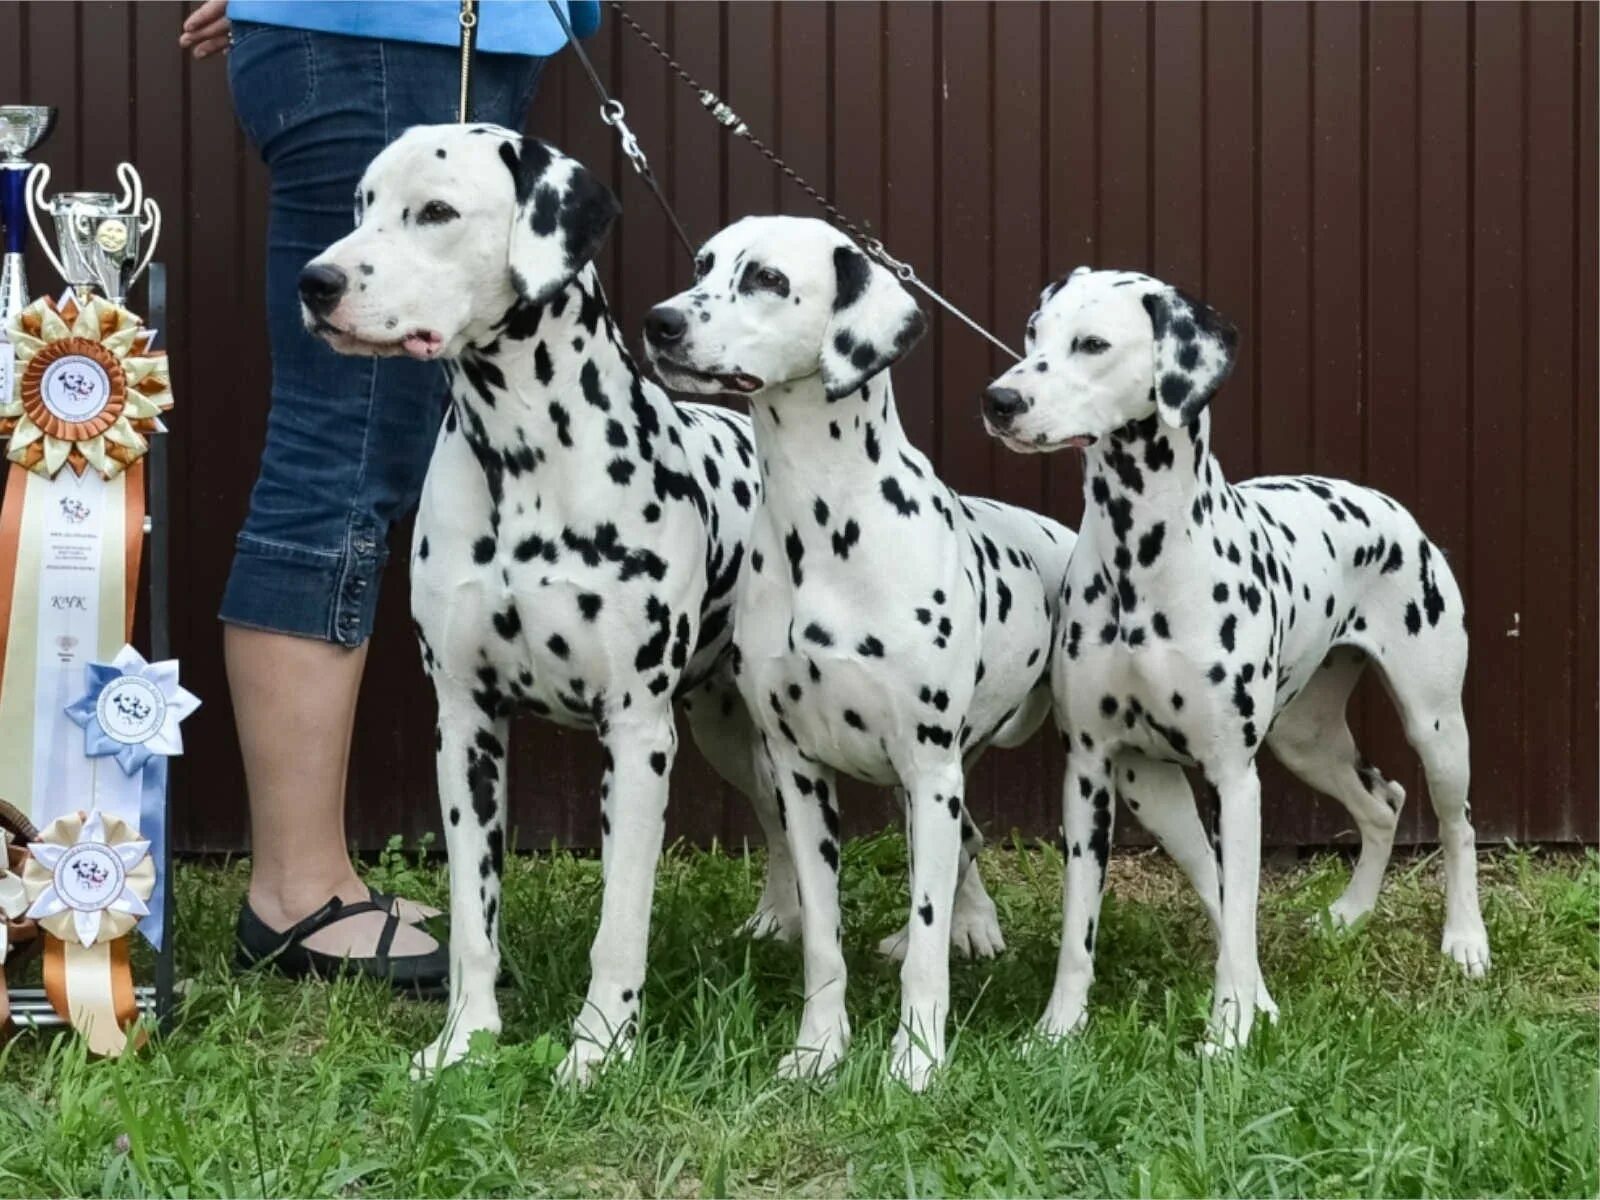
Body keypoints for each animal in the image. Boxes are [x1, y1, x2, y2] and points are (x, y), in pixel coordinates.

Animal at [299, 127, 998, 1088]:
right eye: (362, 203)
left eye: (436, 211)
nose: (316, 281)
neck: (525, 460)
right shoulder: (465, 725)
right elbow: (475, 916)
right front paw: (464, 1040)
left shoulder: (634, 735)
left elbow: (620, 923)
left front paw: (599, 1048)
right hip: (731, 733)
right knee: (776, 822)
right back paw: (780, 917)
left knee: (951, 832)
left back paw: (969, 924)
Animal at [636, 216, 1075, 1088]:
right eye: (703, 264)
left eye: (768, 278)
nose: (660, 322)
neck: (825, 529)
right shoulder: (802, 776)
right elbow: (821, 939)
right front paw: (818, 1051)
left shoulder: (930, 766)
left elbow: (928, 947)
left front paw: (917, 1059)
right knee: (961, 846)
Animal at [979, 265, 1491, 1049]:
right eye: (1034, 334)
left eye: (1092, 343)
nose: (999, 401)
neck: (1142, 559)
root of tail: (1389, 507)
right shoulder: (1092, 771)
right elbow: (1081, 928)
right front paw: (1058, 1030)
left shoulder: (1233, 779)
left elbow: (1241, 913)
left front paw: (1229, 1031)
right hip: (1282, 747)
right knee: (1381, 805)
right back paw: (1350, 914)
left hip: (1435, 726)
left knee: (1456, 823)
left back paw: (1465, 941)